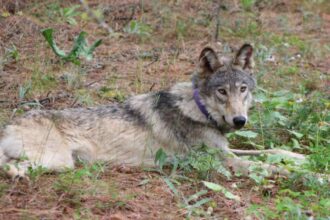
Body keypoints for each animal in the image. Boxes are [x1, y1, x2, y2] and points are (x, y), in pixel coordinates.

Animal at [0, 43, 304, 180]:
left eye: (242, 89)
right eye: (222, 92)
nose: (240, 120)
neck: (198, 109)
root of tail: (8, 126)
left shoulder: (226, 151)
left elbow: (271, 151)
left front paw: (299, 157)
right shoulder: (225, 161)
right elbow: (268, 166)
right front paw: (309, 174)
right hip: (59, 161)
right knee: (10, 167)